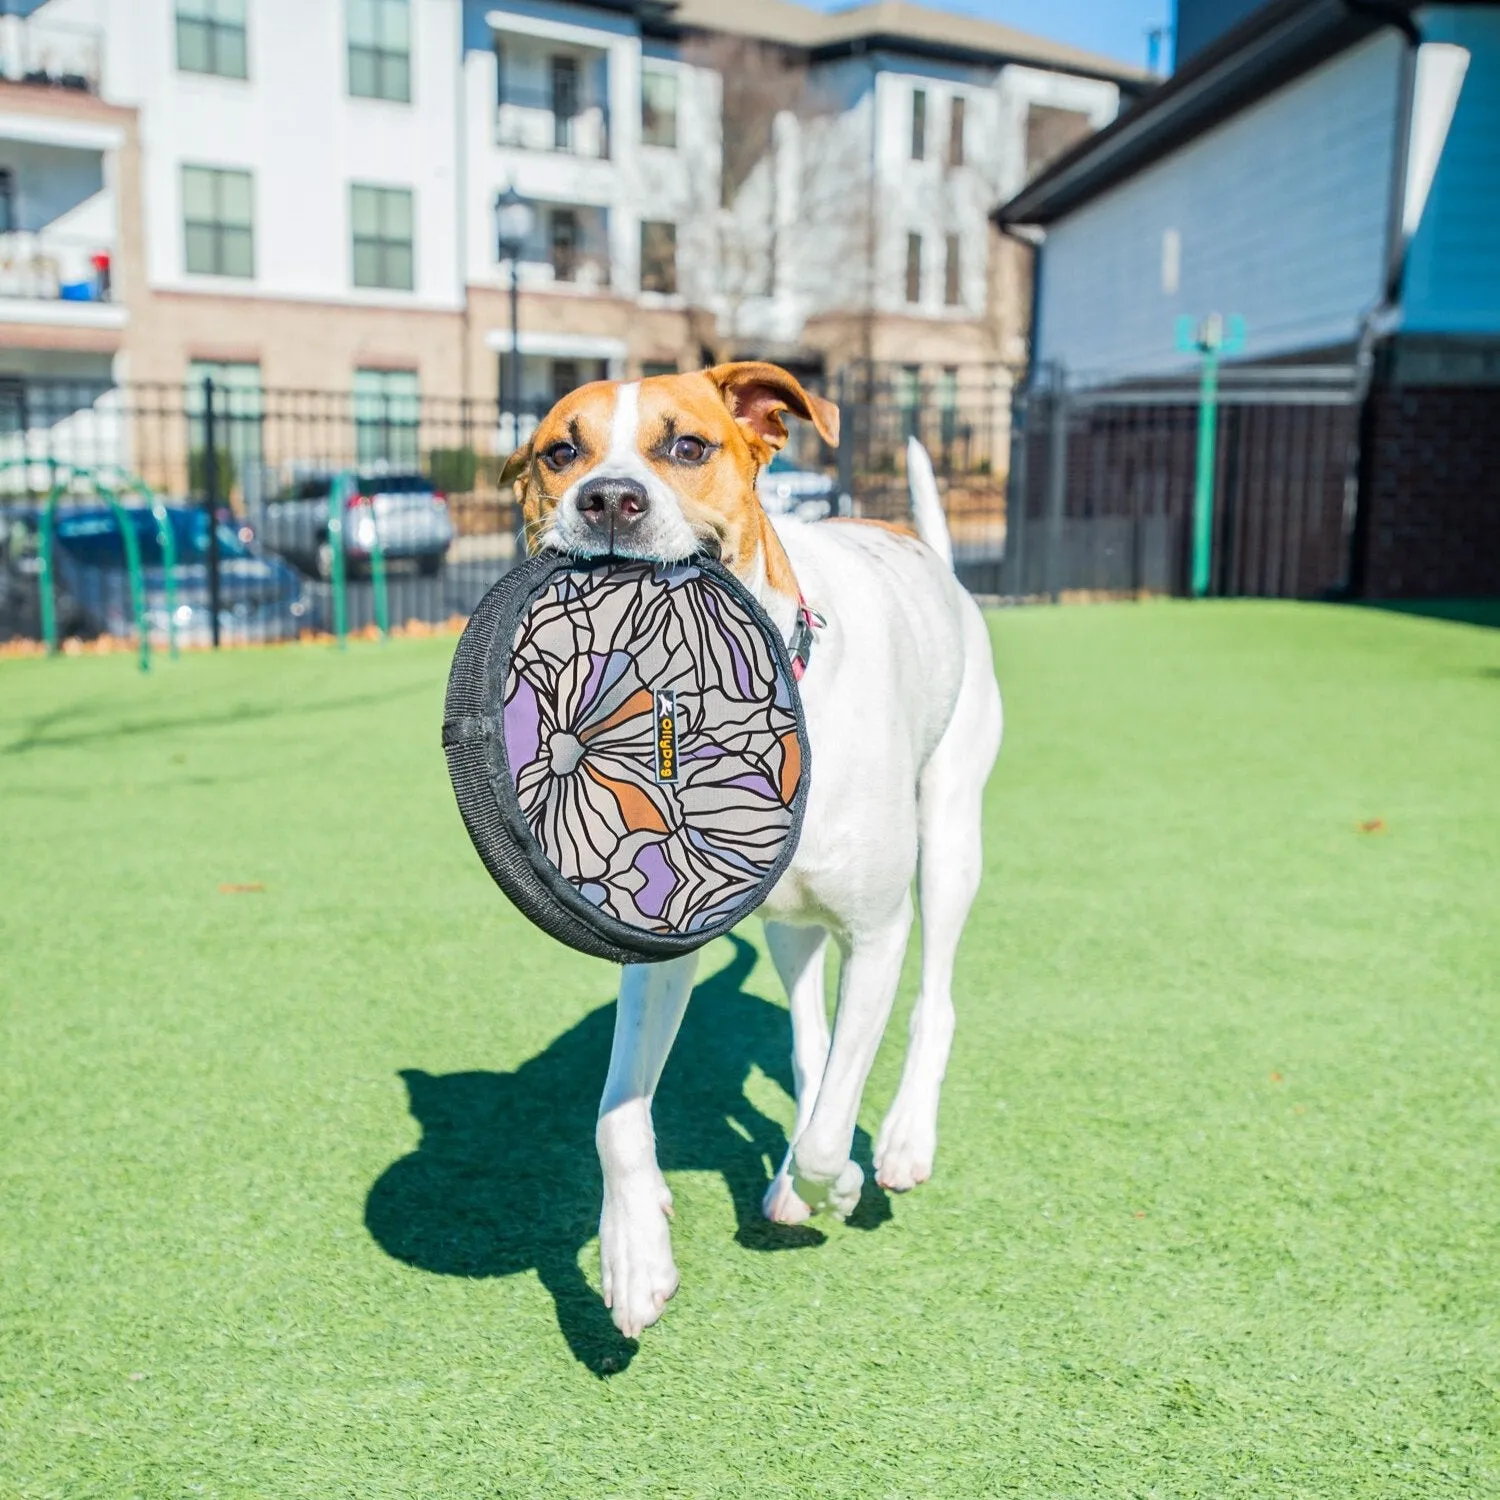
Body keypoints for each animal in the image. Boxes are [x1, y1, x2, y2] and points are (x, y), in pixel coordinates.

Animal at [498, 363, 1002, 1338]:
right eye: (560, 452)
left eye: (687, 446)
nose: (607, 498)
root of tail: (930, 554)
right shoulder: (660, 942)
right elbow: (616, 1114)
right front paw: (633, 1251)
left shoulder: (878, 934)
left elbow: (832, 1129)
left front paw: (836, 1179)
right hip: (787, 924)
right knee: (812, 1040)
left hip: (952, 835)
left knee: (935, 1003)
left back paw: (900, 1142)